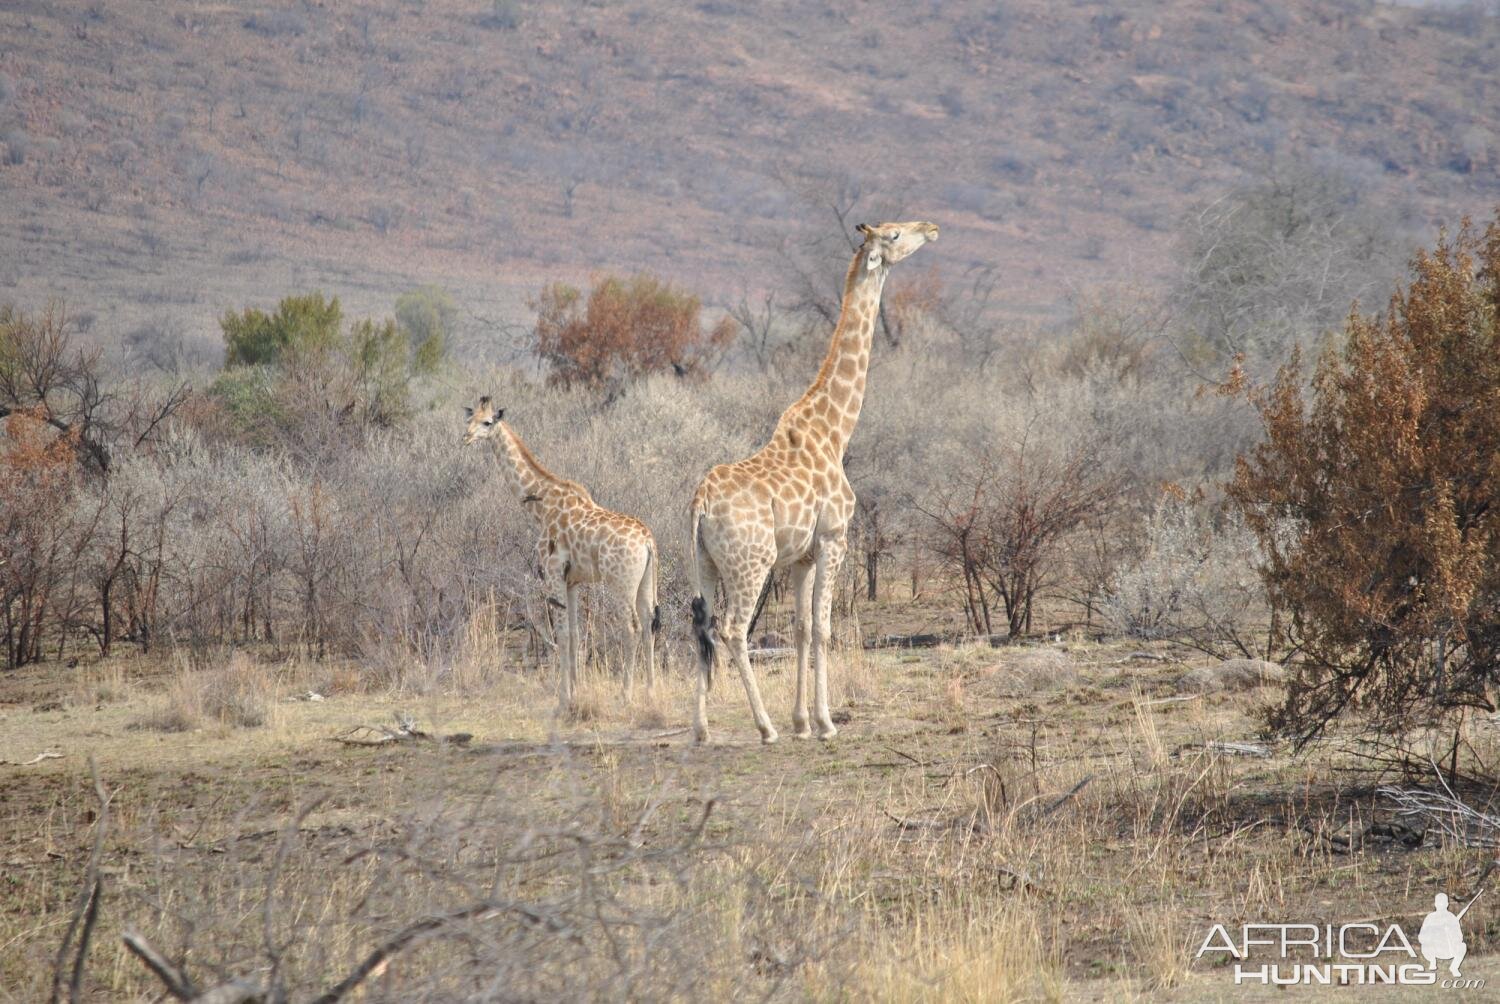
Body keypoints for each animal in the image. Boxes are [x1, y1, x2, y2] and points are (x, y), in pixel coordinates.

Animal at [459, 396, 660, 708]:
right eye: (469, 419)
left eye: (487, 422)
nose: (466, 438)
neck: (540, 506)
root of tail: (647, 541)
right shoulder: (572, 581)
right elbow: (576, 633)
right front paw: (576, 689)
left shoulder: (552, 572)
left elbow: (563, 635)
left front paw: (565, 696)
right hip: (646, 581)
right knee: (650, 623)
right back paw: (650, 691)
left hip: (620, 582)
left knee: (632, 627)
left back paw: (625, 694)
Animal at [687, 219, 936, 741]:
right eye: (895, 234)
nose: (932, 227)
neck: (836, 430)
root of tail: (700, 501)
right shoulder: (833, 538)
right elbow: (823, 628)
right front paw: (824, 723)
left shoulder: (800, 555)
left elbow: (801, 628)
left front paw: (802, 721)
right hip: (751, 562)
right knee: (733, 629)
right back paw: (764, 727)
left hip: (705, 563)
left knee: (701, 628)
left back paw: (700, 730)